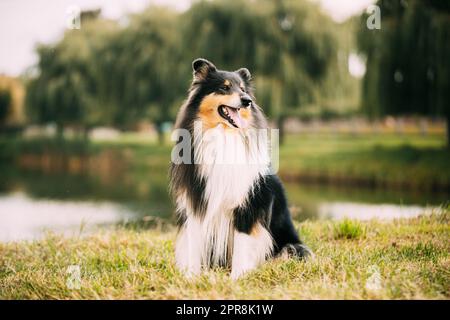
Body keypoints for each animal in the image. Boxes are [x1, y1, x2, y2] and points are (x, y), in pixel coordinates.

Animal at [170, 58, 312, 278]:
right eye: (224, 87)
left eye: (243, 89)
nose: (247, 101)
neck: (224, 135)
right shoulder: (197, 204)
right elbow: (194, 246)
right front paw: (192, 277)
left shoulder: (247, 206)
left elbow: (242, 247)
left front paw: (237, 278)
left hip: (291, 247)